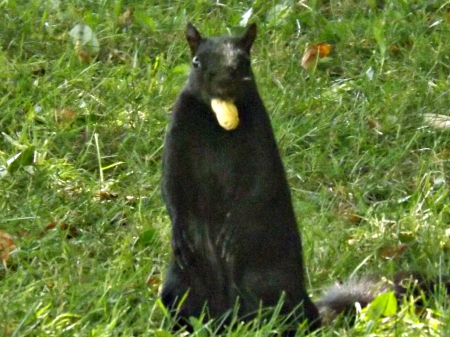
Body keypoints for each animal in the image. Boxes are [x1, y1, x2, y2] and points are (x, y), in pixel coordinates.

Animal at [160, 22, 448, 332]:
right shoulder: (178, 130)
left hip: (268, 283)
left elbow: (257, 189)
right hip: (181, 284)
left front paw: (232, 233)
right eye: (196, 62)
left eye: (244, 62)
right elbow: (172, 186)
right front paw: (179, 229)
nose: (224, 85)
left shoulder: (261, 137)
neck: (216, 122)